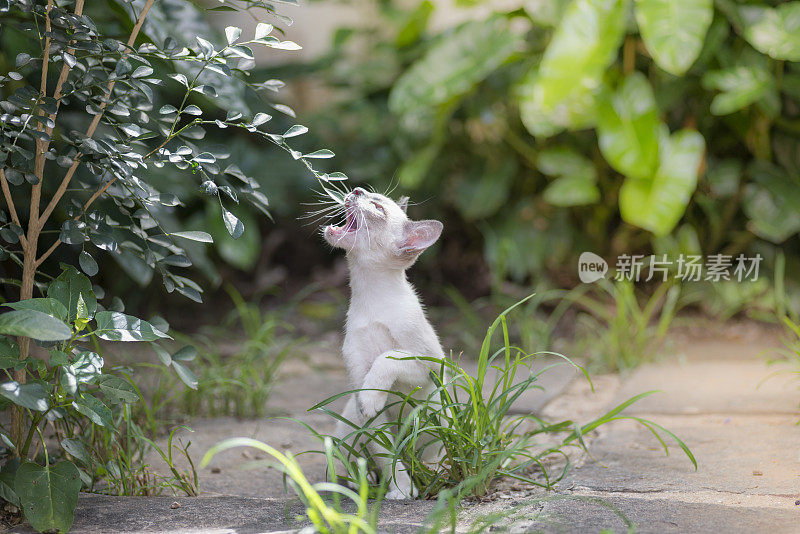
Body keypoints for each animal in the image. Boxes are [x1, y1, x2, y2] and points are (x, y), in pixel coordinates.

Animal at [324, 186, 446, 500]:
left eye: (377, 207)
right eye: (364, 193)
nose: (356, 190)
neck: (370, 297)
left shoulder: (427, 364)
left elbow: (388, 356)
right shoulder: (360, 383)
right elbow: (387, 453)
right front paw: (402, 490)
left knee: (433, 455)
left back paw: (438, 474)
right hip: (347, 424)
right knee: (347, 462)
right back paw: (360, 481)